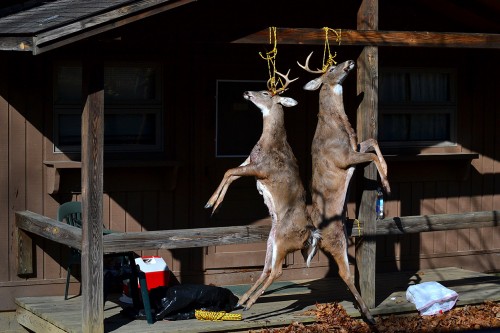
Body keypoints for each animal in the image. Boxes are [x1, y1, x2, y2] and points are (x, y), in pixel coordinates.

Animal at [204, 69, 318, 308]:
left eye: (265, 92)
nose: (247, 91)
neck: (269, 143)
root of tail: (310, 234)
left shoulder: (261, 169)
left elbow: (228, 171)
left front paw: (210, 204)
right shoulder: (250, 163)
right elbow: (230, 175)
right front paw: (213, 205)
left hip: (284, 241)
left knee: (277, 272)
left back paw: (249, 303)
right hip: (272, 240)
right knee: (266, 269)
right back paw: (243, 300)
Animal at [296, 52, 390, 324]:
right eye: (330, 69)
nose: (349, 62)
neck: (338, 127)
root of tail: (317, 235)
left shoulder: (355, 147)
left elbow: (372, 142)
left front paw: (387, 175)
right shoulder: (343, 158)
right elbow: (371, 155)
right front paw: (386, 183)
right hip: (336, 240)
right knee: (344, 273)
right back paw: (368, 315)